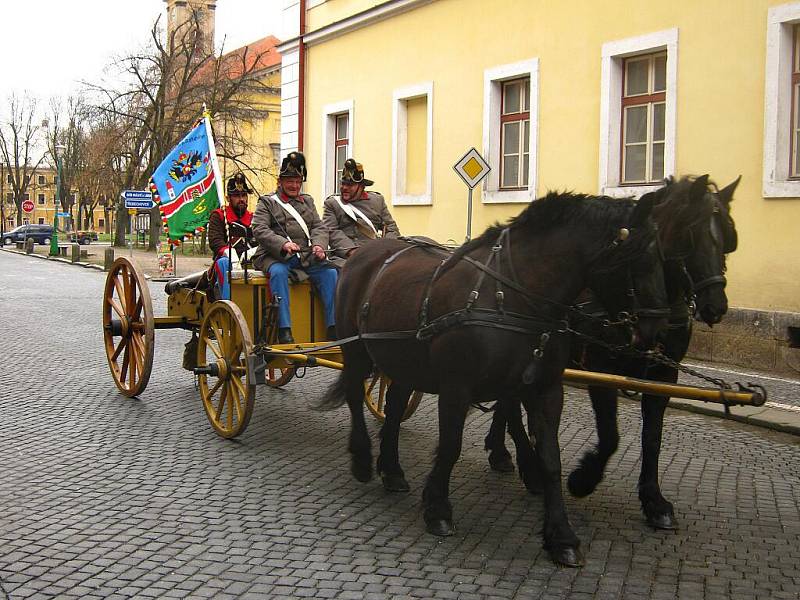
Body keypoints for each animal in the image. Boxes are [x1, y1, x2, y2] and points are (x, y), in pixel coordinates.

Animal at [320, 192, 668, 568]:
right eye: (638, 259)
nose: (657, 330)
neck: (512, 298)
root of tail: (364, 252)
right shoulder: (456, 389)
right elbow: (451, 445)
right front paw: (437, 508)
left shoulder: (545, 390)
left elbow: (551, 459)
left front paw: (561, 536)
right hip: (356, 351)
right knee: (355, 397)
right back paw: (362, 459)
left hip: (402, 362)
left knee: (395, 408)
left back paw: (392, 470)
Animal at [484, 173, 740, 528]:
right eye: (692, 234)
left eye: (727, 237)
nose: (716, 306)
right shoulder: (600, 368)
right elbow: (610, 435)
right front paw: (582, 480)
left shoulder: (664, 374)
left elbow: (653, 438)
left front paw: (654, 501)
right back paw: (527, 465)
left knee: (506, 401)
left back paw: (501, 452)